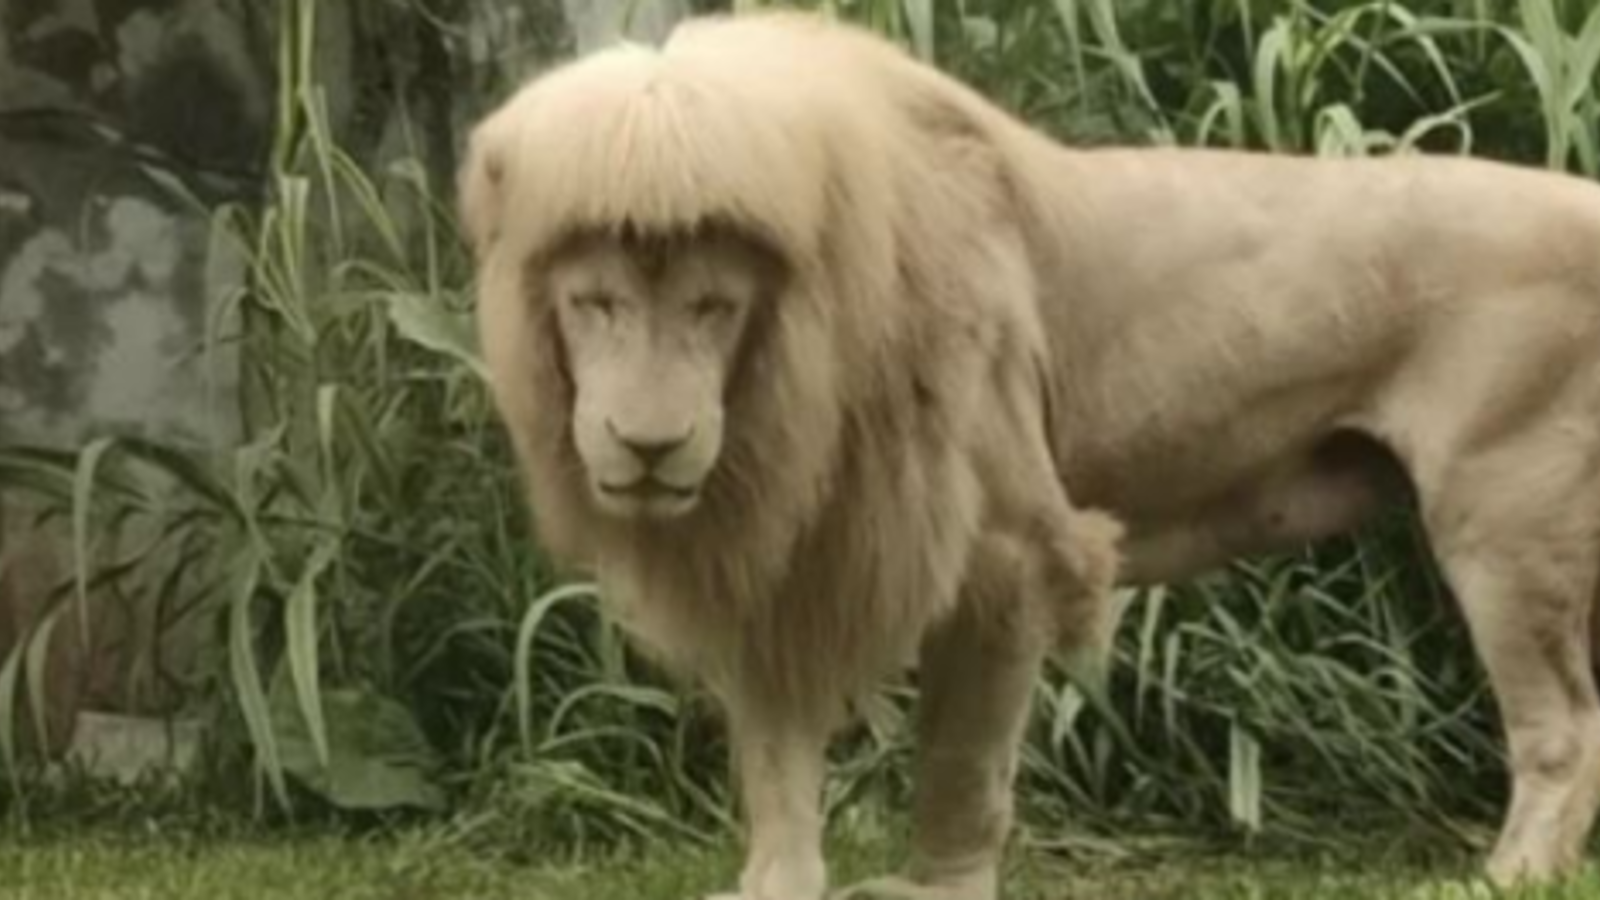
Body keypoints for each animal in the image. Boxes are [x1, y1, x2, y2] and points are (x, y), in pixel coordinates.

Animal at [461, 10, 1600, 899]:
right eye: (595, 303)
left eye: (712, 307)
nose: (647, 445)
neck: (790, 386)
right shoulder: (785, 562)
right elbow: (775, 760)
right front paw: (773, 884)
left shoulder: (1005, 548)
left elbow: (959, 761)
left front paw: (934, 888)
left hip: (1503, 517)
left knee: (1564, 724)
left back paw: (1506, 877)